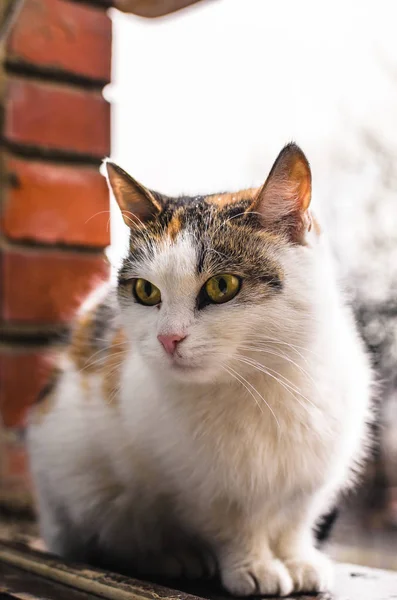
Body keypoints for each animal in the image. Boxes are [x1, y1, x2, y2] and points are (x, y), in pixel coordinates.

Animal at [27, 144, 372, 596]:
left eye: (221, 286)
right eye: (146, 291)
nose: (168, 338)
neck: (263, 381)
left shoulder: (311, 476)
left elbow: (294, 520)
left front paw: (297, 560)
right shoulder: (201, 485)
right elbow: (232, 524)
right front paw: (253, 566)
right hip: (79, 483)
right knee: (112, 535)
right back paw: (173, 558)